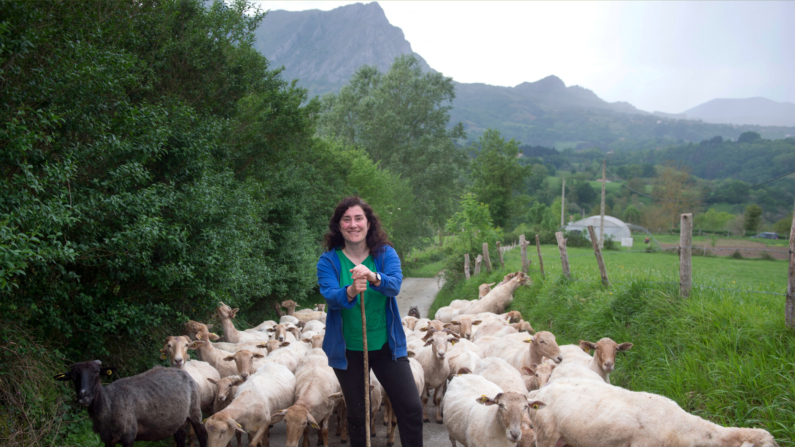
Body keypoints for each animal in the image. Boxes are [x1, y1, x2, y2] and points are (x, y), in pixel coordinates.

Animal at [54, 360, 207, 447]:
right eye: (73, 376)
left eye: (97, 373)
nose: (83, 396)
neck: (109, 404)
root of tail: (181, 371)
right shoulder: (108, 440)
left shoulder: (128, 436)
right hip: (177, 420)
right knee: (180, 437)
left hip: (194, 409)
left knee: (202, 434)